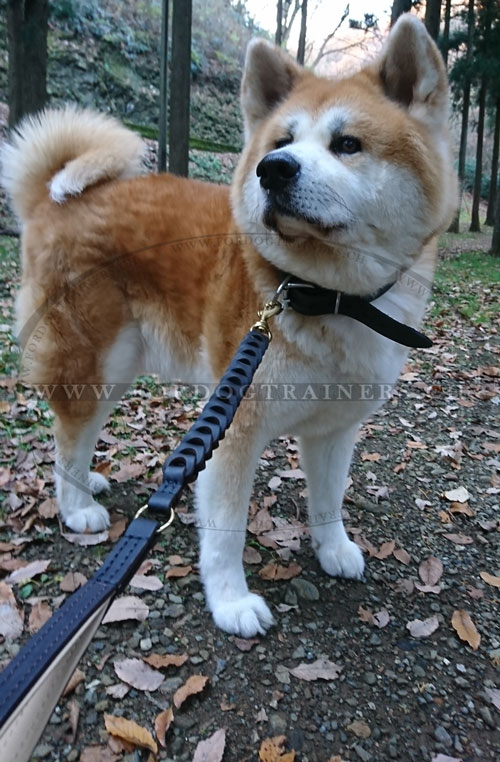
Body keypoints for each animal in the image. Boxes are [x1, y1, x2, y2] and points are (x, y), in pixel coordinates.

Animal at [1, 16, 458, 636]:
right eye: (281, 143)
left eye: (347, 144)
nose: (274, 170)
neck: (323, 294)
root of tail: (50, 202)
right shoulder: (234, 429)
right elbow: (225, 533)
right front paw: (231, 602)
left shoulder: (334, 427)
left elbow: (328, 501)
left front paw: (333, 549)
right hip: (95, 360)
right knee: (67, 438)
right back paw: (77, 509)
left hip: (120, 365)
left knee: (76, 436)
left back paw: (86, 483)